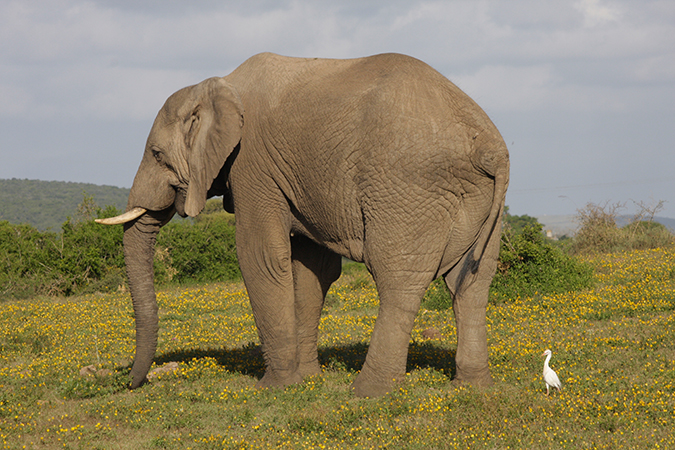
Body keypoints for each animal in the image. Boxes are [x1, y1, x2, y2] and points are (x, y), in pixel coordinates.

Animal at [97, 52, 509, 398]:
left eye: (156, 154)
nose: (130, 382)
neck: (216, 85)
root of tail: (488, 145)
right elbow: (312, 270)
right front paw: (308, 379)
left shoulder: (252, 165)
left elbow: (260, 258)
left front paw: (275, 387)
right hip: (480, 198)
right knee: (471, 284)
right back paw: (472, 387)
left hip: (407, 187)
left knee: (398, 280)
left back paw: (369, 392)